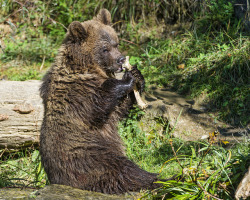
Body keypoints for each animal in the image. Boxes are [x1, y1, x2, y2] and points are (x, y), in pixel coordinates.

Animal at [40, 9, 159, 194]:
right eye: (105, 48)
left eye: (116, 43)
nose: (120, 60)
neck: (88, 68)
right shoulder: (77, 93)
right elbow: (97, 106)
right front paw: (126, 79)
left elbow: (116, 109)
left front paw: (137, 75)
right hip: (89, 154)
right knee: (121, 170)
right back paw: (157, 178)